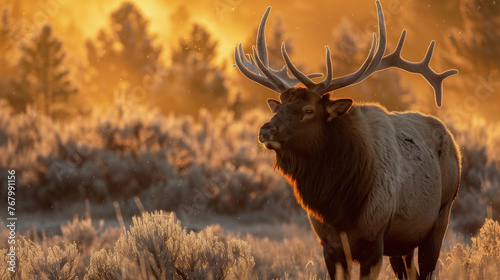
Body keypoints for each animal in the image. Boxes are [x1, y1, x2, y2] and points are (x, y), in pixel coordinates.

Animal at [234, 1, 460, 278]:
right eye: (278, 107)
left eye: (308, 110)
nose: (265, 130)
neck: (339, 206)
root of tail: (454, 142)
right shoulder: (329, 246)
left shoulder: (374, 241)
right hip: (403, 244)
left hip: (441, 217)